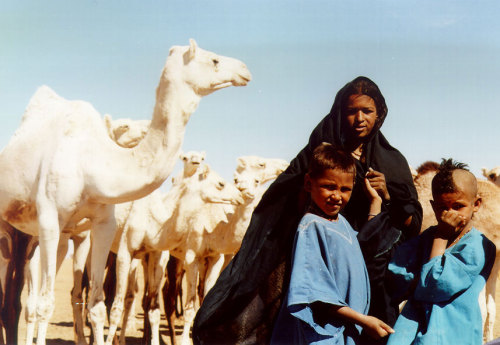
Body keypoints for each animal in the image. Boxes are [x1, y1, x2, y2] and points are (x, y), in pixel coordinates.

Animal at [108, 163, 243, 344]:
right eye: (220, 184)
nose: (239, 195)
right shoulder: (125, 252)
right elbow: (117, 308)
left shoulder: (158, 253)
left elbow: (155, 309)